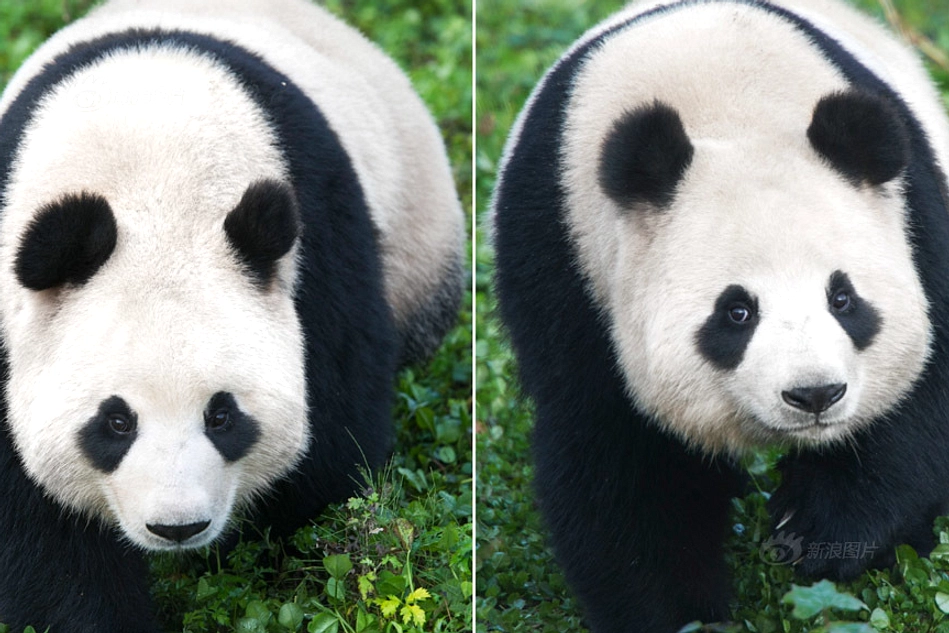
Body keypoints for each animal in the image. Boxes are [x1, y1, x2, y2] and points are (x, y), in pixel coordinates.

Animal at [0, 0, 464, 631]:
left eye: (222, 415)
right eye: (116, 422)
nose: (178, 529)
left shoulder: (319, 248)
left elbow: (333, 440)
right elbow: (43, 532)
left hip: (418, 239)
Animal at [492, 0, 949, 631]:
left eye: (842, 299)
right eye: (737, 312)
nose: (814, 395)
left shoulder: (914, 216)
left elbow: (922, 394)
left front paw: (817, 530)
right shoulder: (566, 262)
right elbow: (619, 453)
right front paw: (683, 614)